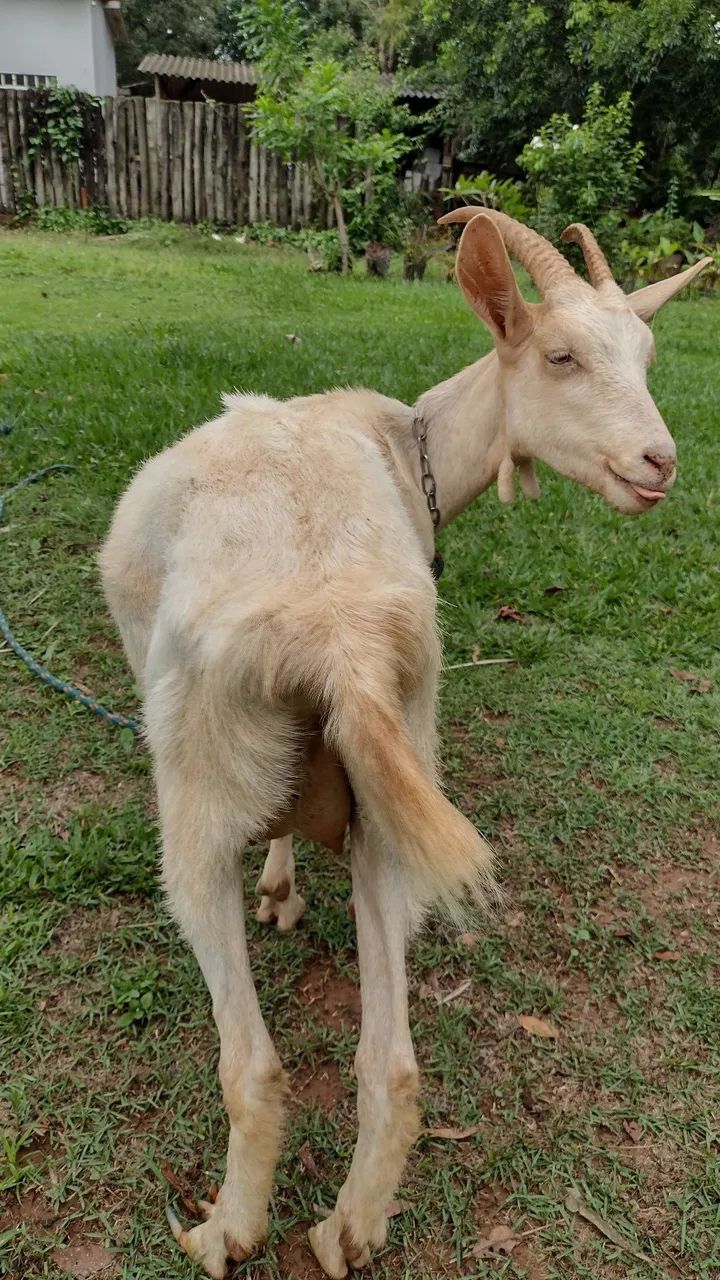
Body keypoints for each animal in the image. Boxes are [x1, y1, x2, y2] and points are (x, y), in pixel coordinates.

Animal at [99, 213, 708, 1279]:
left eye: (645, 355)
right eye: (560, 355)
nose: (657, 464)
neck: (405, 445)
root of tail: (335, 637)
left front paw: (277, 892)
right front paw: (285, 888)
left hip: (196, 785)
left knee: (250, 1061)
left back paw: (225, 1231)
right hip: (397, 784)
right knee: (391, 1064)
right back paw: (349, 1229)